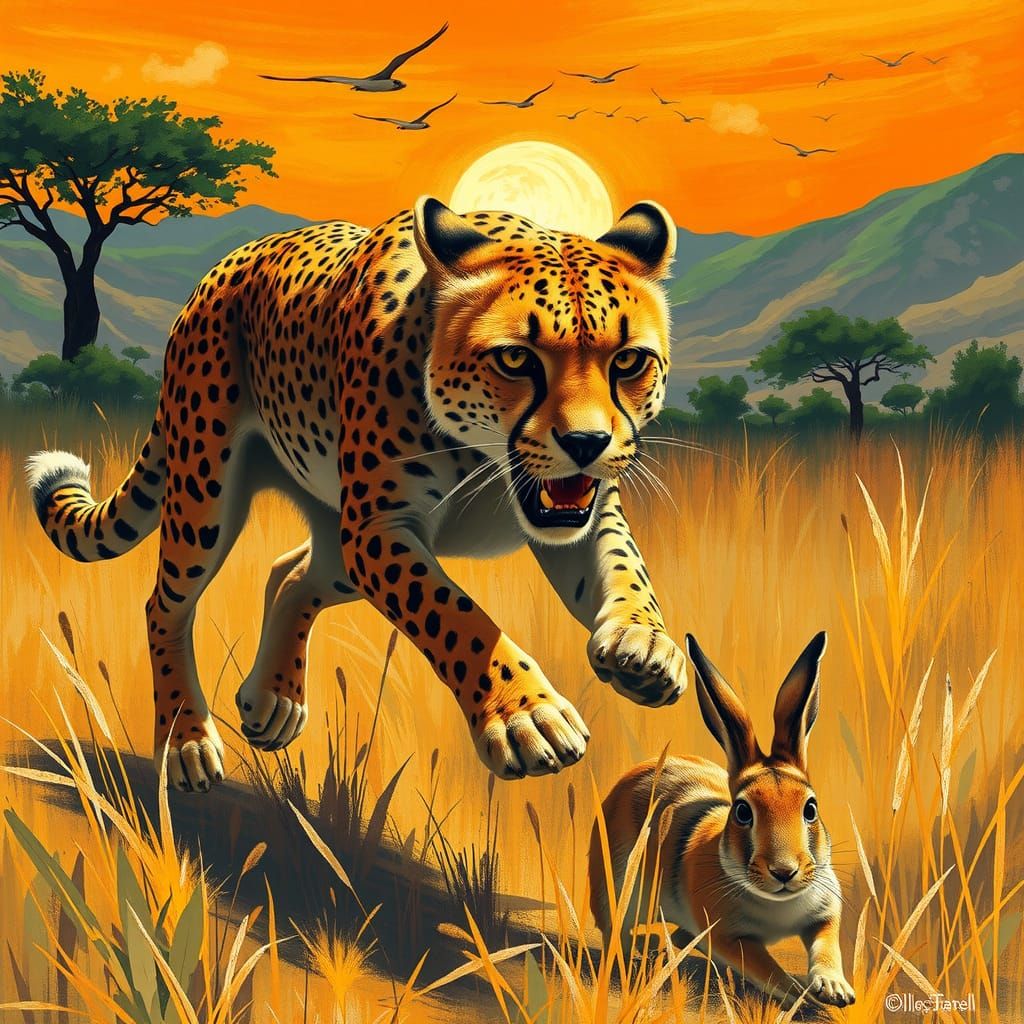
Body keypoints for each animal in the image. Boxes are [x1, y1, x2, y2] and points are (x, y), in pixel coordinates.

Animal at [26, 197, 688, 793]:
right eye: (516, 359)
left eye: (628, 361)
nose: (587, 442)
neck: (488, 460)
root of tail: (220, 271)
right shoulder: (378, 530)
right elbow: (459, 617)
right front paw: (527, 714)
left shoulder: (580, 511)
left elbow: (626, 571)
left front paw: (646, 645)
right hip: (205, 493)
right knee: (166, 605)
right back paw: (185, 743)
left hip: (334, 541)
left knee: (291, 571)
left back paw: (273, 699)